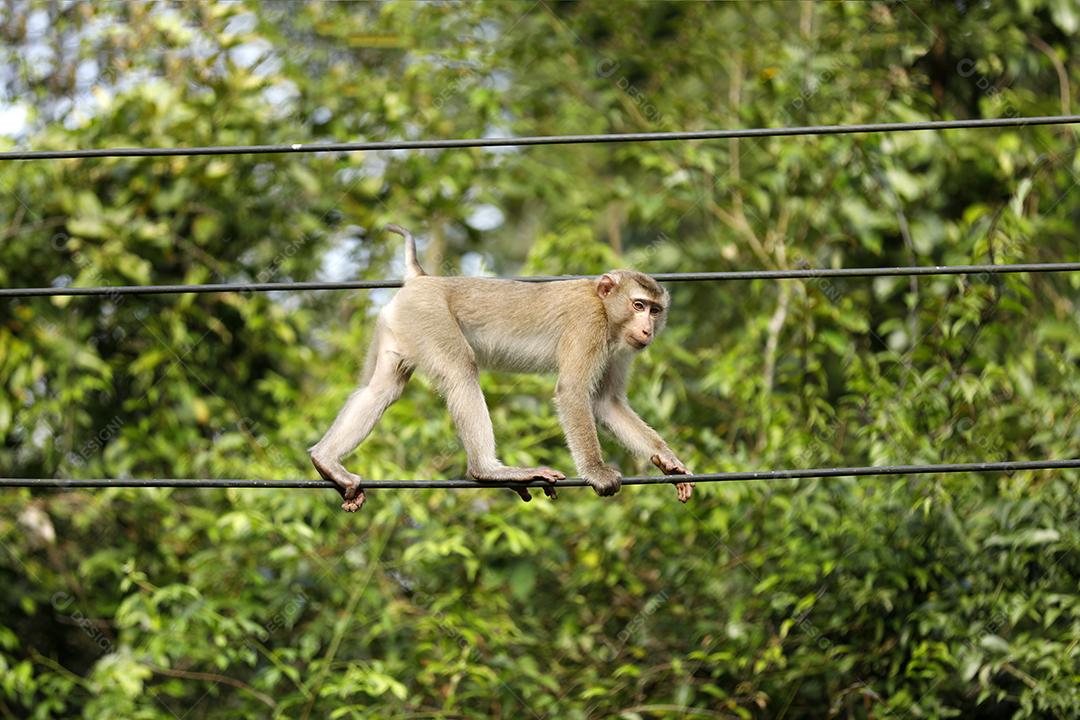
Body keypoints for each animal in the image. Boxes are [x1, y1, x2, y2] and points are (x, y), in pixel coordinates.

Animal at [308, 225, 691, 511]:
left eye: (655, 310)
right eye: (638, 305)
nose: (648, 328)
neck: (605, 310)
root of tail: (421, 279)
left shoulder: (619, 349)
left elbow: (605, 403)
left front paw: (667, 460)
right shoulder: (588, 326)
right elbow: (573, 393)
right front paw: (597, 472)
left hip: (401, 323)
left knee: (380, 389)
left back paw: (326, 460)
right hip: (430, 316)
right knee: (461, 372)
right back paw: (489, 470)